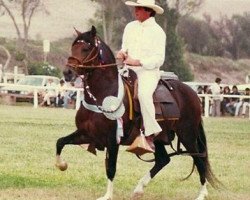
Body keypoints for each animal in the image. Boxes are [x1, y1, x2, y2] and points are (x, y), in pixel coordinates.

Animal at [55, 26, 219, 200]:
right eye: (73, 47)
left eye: (86, 48)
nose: (67, 72)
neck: (103, 95)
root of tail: (193, 93)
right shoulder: (86, 134)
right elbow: (60, 142)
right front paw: (62, 165)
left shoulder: (113, 140)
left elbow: (111, 168)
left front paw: (107, 195)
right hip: (159, 137)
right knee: (163, 160)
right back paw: (139, 189)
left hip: (187, 135)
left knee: (199, 159)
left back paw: (201, 194)